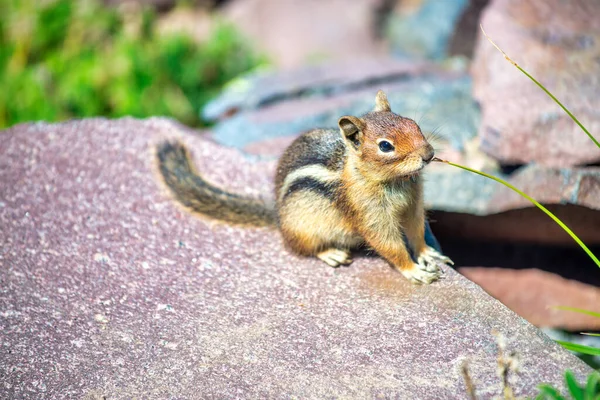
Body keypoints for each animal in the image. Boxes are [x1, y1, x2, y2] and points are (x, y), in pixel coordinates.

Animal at [157, 91, 452, 284]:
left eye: (413, 124)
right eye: (385, 146)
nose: (429, 154)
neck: (395, 181)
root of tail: (278, 215)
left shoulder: (413, 204)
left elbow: (415, 231)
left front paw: (428, 254)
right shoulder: (369, 214)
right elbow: (389, 244)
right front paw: (414, 270)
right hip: (304, 229)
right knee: (300, 247)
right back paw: (332, 253)